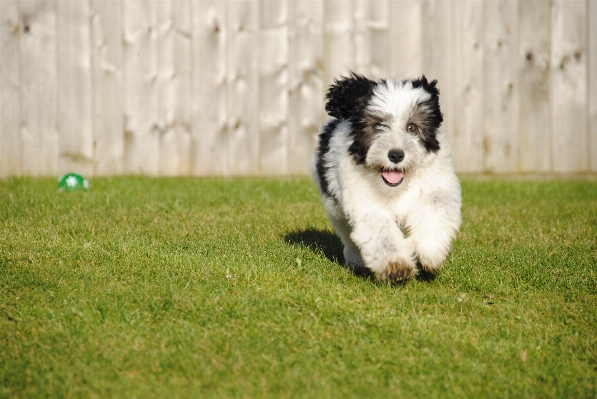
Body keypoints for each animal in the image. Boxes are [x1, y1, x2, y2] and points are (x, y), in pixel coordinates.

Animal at [310, 72, 464, 284]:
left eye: (412, 127)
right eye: (379, 126)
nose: (396, 155)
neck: (397, 186)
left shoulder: (438, 184)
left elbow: (435, 208)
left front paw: (430, 251)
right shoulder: (364, 201)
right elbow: (381, 230)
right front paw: (396, 266)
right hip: (336, 209)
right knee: (348, 236)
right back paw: (356, 260)